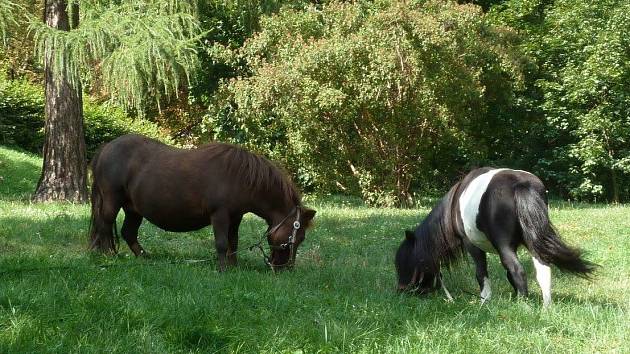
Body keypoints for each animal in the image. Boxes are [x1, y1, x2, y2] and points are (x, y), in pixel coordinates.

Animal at [89, 134, 316, 270]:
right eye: (297, 237)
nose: (284, 268)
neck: (241, 176)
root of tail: (106, 148)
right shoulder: (220, 215)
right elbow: (222, 243)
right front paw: (223, 269)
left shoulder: (235, 218)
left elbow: (233, 242)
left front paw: (234, 266)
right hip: (112, 202)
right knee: (105, 226)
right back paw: (109, 255)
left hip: (134, 209)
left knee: (128, 232)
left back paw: (144, 257)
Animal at [398, 167, 600, 306]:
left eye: (405, 262)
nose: (401, 291)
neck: (454, 204)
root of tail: (521, 185)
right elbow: (508, 275)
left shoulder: (472, 245)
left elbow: (481, 273)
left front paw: (484, 301)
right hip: (534, 243)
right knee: (542, 269)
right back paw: (545, 307)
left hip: (504, 246)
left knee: (518, 269)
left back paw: (523, 306)